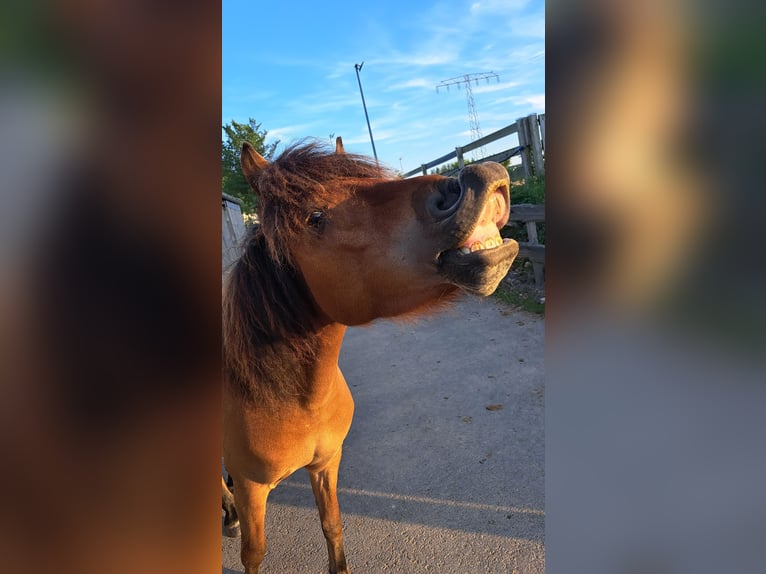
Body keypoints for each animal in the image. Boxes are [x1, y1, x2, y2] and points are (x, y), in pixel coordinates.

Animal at [224, 140, 520, 574]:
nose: (481, 178)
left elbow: (332, 524)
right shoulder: (251, 488)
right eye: (314, 217)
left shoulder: (326, 464)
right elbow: (254, 554)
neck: (288, 399)